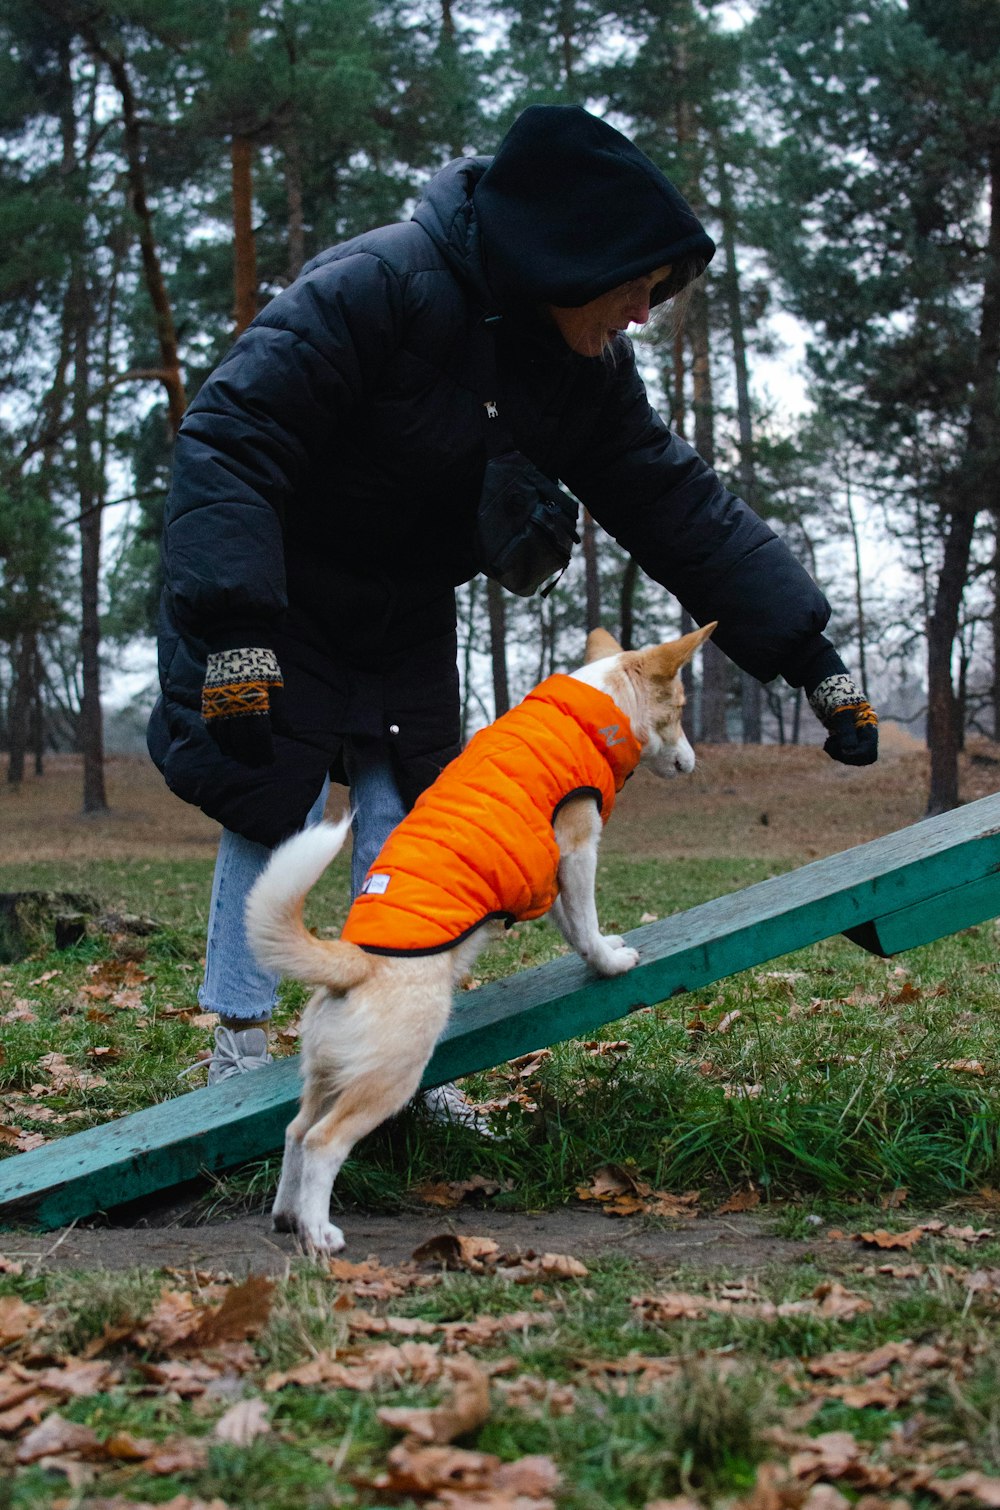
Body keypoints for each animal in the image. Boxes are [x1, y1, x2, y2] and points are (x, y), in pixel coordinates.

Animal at [250, 619, 722, 1256]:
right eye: (677, 709)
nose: (693, 764)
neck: (595, 705)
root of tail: (350, 961)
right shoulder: (577, 848)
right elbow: (587, 921)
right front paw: (610, 963)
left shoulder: (551, 877)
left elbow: (574, 927)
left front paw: (596, 954)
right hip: (388, 1077)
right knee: (324, 1143)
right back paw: (320, 1233)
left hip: (327, 1075)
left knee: (296, 1132)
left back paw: (287, 1217)